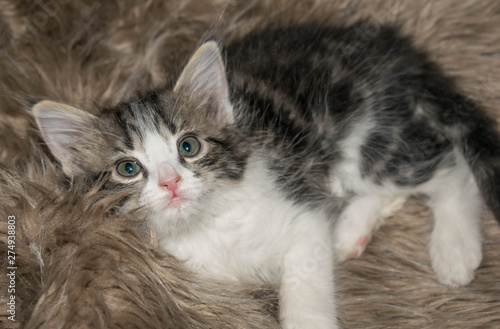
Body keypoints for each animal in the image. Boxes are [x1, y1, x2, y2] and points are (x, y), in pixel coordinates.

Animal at [30, 23, 500, 328]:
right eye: (128, 168)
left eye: (189, 146)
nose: (170, 183)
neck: (205, 226)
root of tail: (396, 51)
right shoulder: (203, 283)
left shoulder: (301, 214)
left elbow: (305, 284)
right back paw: (350, 232)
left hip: (367, 138)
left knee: (449, 165)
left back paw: (454, 249)